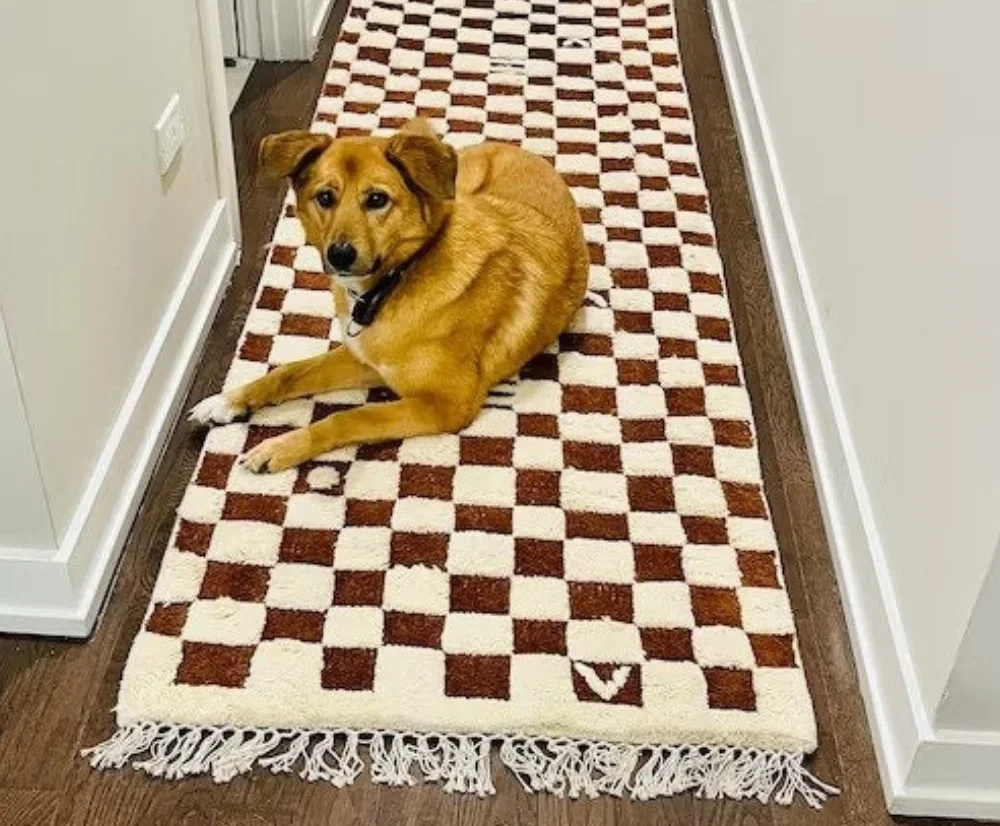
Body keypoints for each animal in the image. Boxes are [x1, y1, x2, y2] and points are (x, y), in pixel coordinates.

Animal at [191, 119, 588, 474]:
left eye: (377, 199)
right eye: (325, 198)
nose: (340, 255)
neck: (396, 279)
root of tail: (520, 149)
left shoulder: (446, 404)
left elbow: (350, 417)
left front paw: (280, 447)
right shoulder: (365, 359)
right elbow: (287, 372)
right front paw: (226, 401)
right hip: (461, 190)